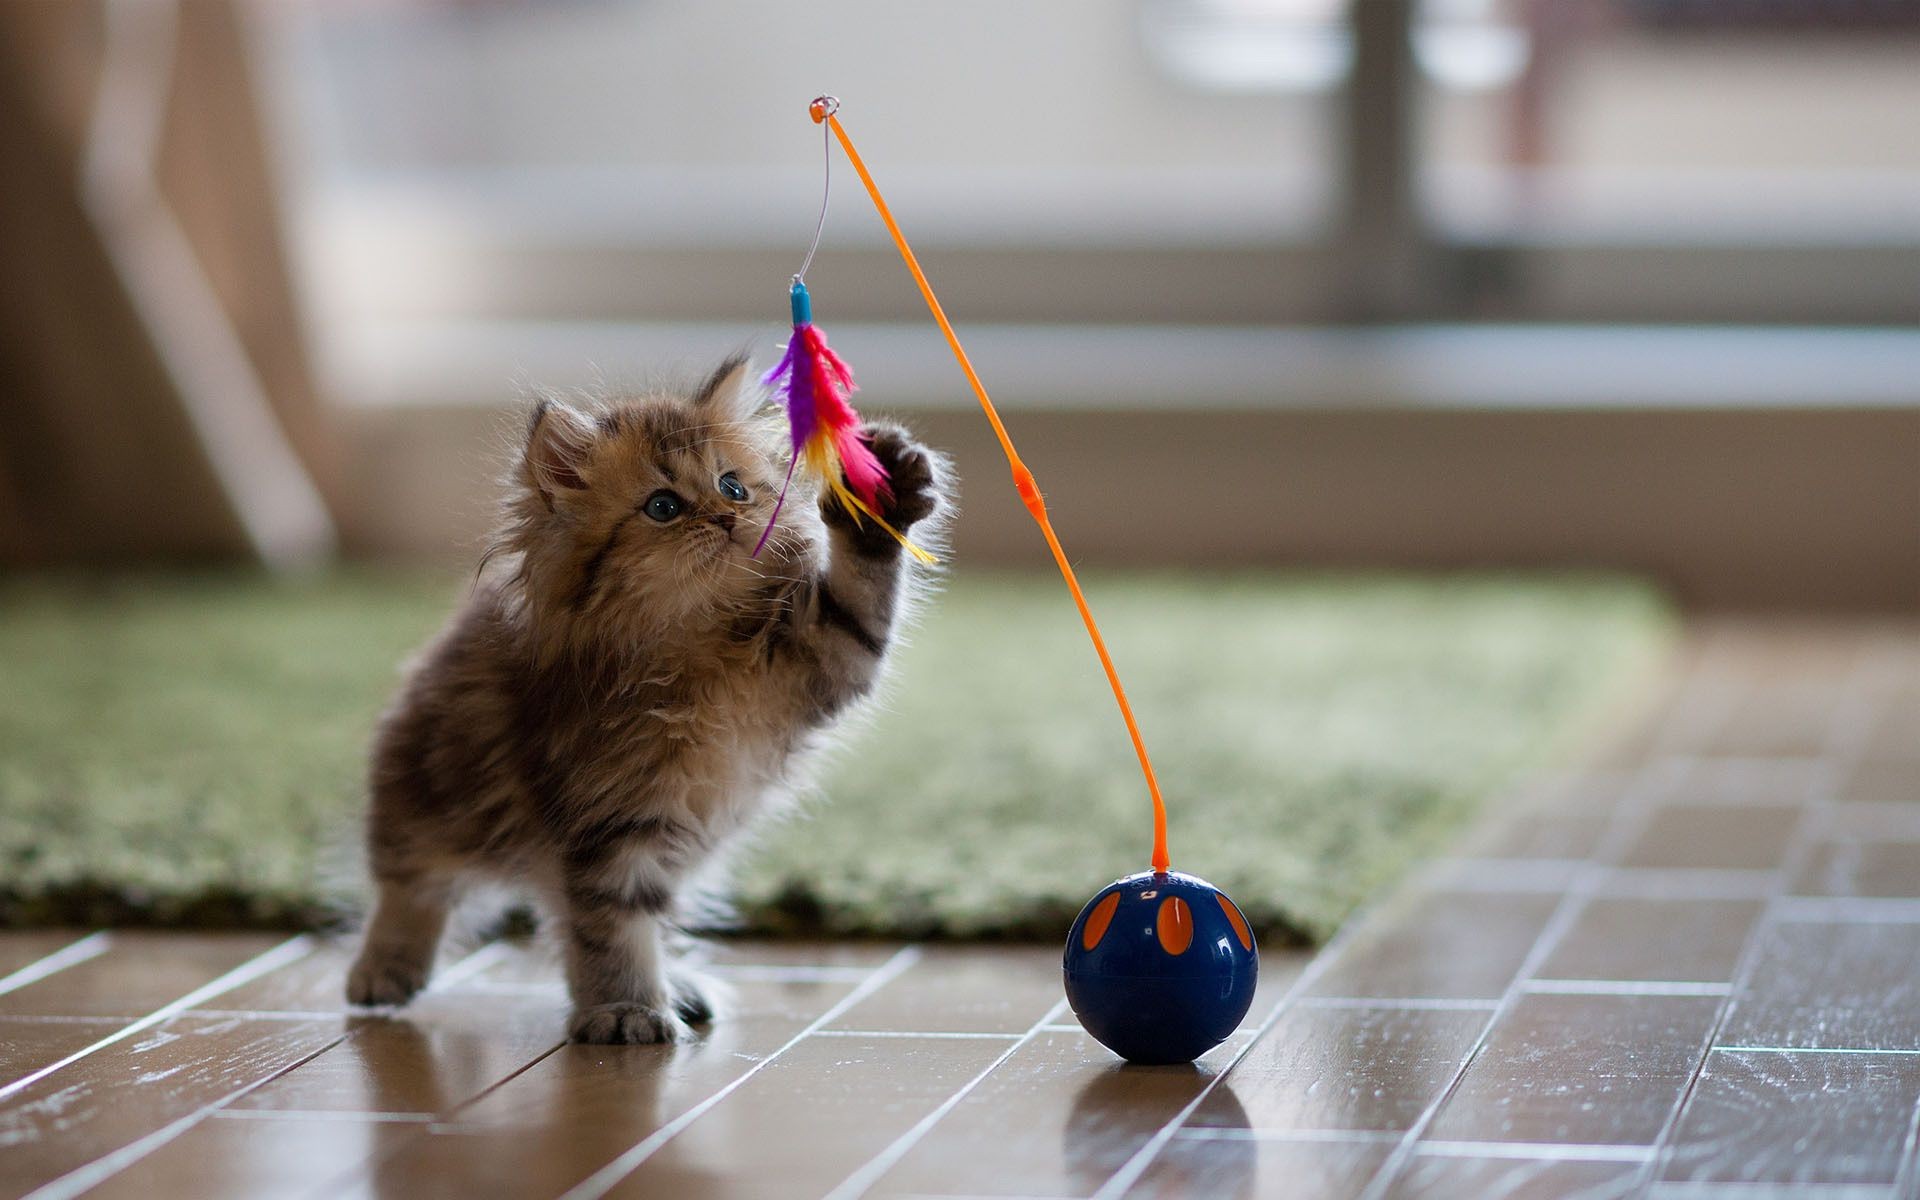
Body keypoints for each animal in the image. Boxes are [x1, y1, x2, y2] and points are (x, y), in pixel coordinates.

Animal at [349, 353, 948, 1036]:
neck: (697, 649)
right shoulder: (608, 817)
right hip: (429, 791)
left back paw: (678, 984)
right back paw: (384, 971)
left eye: (733, 487)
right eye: (663, 506)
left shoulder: (823, 656)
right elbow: (612, 922)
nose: (726, 517)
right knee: (412, 883)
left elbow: (861, 594)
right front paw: (626, 1009)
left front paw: (882, 496)